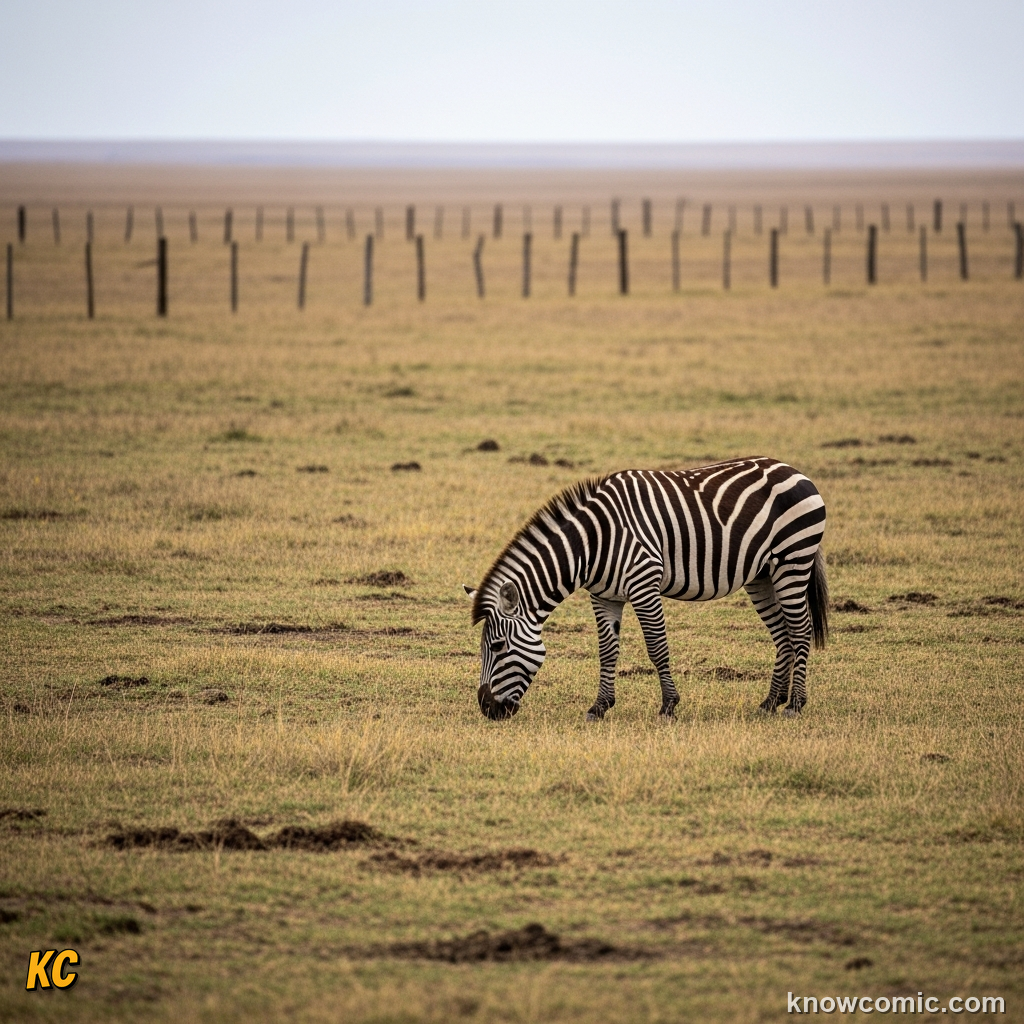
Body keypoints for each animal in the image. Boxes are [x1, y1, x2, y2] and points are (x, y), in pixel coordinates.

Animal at [464, 457, 828, 721]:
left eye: (496, 646)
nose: (486, 709)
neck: (594, 542)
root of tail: (793, 469)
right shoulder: (604, 596)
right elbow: (607, 651)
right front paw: (599, 707)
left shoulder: (644, 586)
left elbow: (656, 647)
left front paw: (669, 705)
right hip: (762, 576)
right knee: (782, 635)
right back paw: (770, 702)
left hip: (793, 560)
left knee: (800, 630)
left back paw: (795, 705)